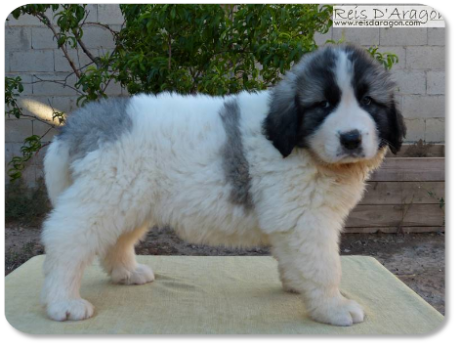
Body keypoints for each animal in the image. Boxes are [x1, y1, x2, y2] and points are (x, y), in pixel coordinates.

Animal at [41, 44, 404, 326]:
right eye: (324, 105)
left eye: (368, 101)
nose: (351, 138)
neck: (301, 146)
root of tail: (79, 123)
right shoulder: (308, 221)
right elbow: (325, 266)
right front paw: (334, 307)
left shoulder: (292, 221)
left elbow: (295, 258)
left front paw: (298, 285)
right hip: (104, 196)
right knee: (66, 242)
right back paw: (63, 302)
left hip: (128, 200)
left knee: (116, 240)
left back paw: (127, 273)